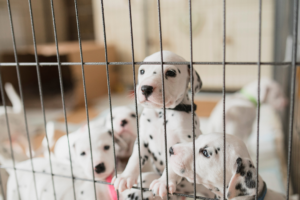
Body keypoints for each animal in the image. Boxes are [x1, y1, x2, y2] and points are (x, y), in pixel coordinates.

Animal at [112, 50, 213, 198]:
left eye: (171, 73)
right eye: (142, 71)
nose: (145, 88)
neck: (162, 113)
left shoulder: (183, 142)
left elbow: (172, 166)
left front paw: (163, 182)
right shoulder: (142, 140)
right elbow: (134, 159)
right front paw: (125, 176)